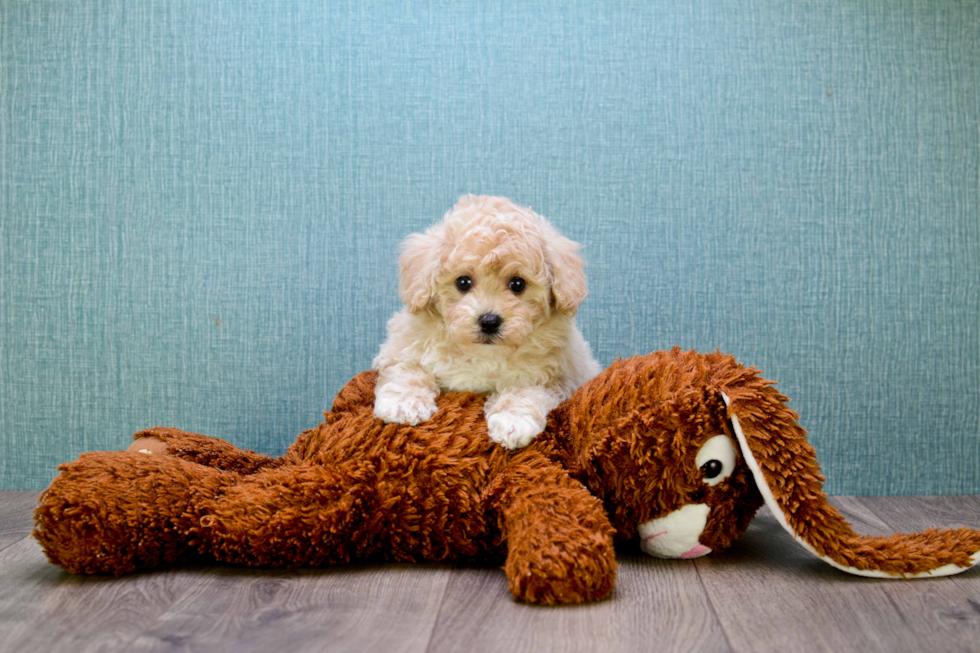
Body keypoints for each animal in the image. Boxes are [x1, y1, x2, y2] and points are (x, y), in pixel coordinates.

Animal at [376, 194, 600, 448]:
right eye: (463, 282)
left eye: (518, 284)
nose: (489, 321)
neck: (483, 356)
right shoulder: (401, 347)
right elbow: (407, 369)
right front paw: (403, 402)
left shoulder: (555, 377)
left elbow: (527, 390)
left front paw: (513, 420)